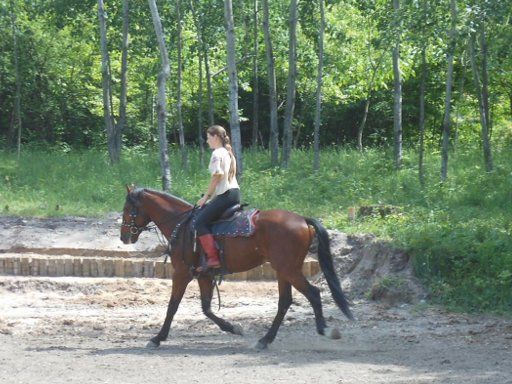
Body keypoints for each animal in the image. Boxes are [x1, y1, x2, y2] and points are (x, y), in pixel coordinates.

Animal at [120, 184, 354, 350]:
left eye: (127, 209)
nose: (123, 237)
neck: (183, 225)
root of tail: (303, 220)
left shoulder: (182, 273)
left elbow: (173, 306)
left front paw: (157, 338)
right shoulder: (204, 276)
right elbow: (206, 308)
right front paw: (232, 327)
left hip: (289, 269)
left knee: (312, 293)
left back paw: (324, 330)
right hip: (284, 270)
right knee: (285, 302)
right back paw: (265, 339)